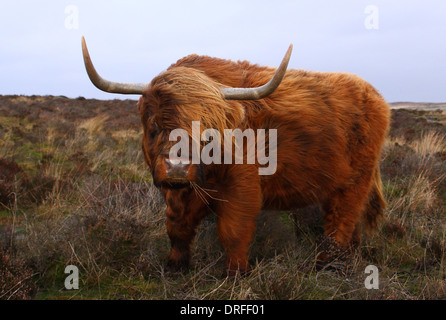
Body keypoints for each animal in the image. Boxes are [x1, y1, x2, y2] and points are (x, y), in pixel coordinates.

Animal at [81, 36, 390, 274]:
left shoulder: (242, 189)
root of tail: (374, 95)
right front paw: (175, 267)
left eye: (207, 131)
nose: (178, 167)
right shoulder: (179, 192)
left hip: (355, 181)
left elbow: (232, 231)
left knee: (341, 219)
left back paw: (328, 264)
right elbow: (177, 226)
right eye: (155, 125)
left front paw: (235, 274)